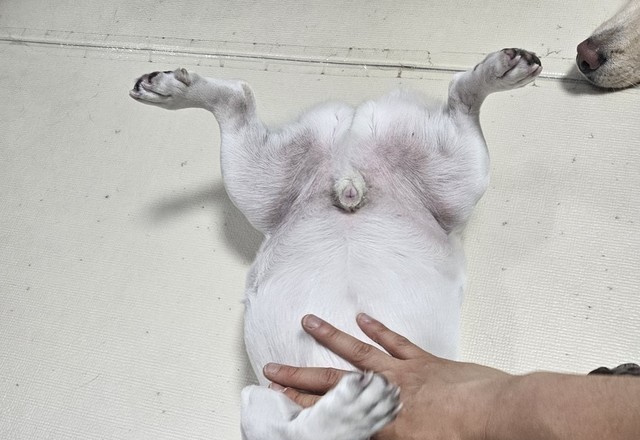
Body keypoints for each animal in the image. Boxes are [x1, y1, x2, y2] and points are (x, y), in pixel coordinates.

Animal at [130, 48, 541, 440]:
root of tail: (349, 155)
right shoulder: (264, 400)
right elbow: (287, 428)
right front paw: (348, 415)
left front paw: (349, 414)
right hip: (269, 177)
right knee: (236, 102)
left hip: (449, 177)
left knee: (463, 102)